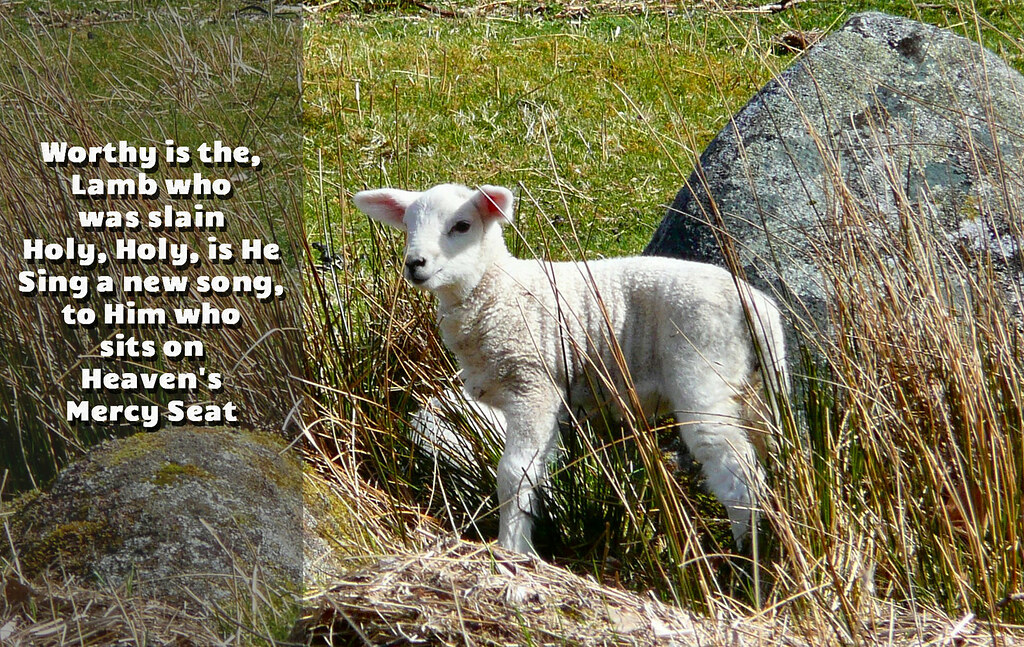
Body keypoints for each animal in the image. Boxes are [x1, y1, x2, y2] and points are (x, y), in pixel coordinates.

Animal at [353, 183, 788, 556]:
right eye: (408, 226)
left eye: (462, 226)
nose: (415, 264)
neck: (497, 289)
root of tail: (756, 305)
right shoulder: (547, 398)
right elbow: (536, 473)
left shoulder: (533, 385)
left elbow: (513, 474)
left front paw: (512, 550)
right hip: (752, 386)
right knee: (769, 457)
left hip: (704, 369)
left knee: (738, 474)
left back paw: (747, 558)